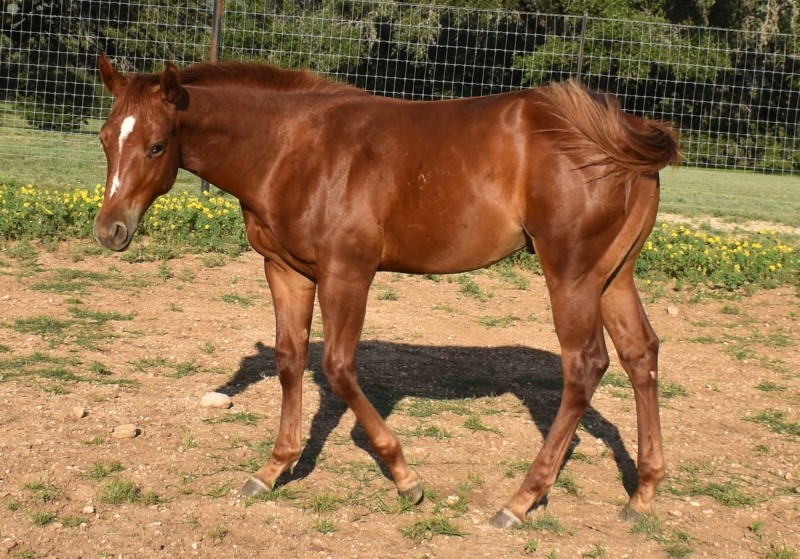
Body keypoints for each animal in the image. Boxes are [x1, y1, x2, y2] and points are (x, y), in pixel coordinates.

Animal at [93, 53, 680, 527]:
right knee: (639, 353)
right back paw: (642, 494)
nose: (110, 231)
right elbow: (290, 359)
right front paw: (273, 468)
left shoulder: (347, 273)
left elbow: (338, 367)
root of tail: (619, 130)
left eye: (157, 145)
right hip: (613, 274)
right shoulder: (285, 270)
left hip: (571, 275)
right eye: (104, 138)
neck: (292, 149)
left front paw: (405, 478)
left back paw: (520, 500)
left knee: (585, 366)